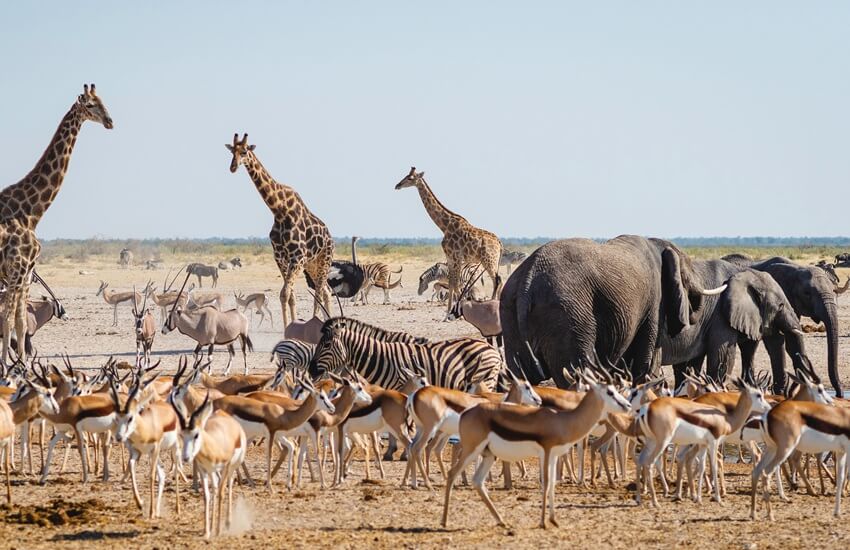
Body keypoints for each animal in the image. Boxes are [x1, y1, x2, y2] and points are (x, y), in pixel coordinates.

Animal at [0, 84, 113, 363]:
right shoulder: (19, 269)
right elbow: (10, 320)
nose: (110, 122)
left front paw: (19, 364)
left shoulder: (24, 273)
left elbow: (18, 321)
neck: (31, 212)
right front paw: (12, 365)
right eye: (91, 105)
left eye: (104, 101)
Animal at [225, 133, 333, 328]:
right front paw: (288, 326)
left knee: (320, 293)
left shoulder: (297, 258)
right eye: (232, 152)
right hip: (312, 264)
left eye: (244, 151)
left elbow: (285, 293)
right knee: (327, 291)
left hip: (324, 260)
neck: (279, 211)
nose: (233, 167)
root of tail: (330, 237)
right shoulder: (281, 258)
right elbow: (288, 296)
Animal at [395, 167, 502, 316]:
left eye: (410, 178)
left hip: (489, 260)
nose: (397, 185)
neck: (444, 226)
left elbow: (456, 285)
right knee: (499, 280)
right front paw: (447, 314)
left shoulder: (456, 257)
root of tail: (499, 243)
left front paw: (457, 311)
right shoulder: (450, 257)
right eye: (405, 175)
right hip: (494, 261)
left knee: (496, 280)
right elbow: (451, 284)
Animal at [500, 235, 727, 387]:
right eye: (687, 275)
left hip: (510, 310)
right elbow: (645, 362)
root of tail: (528, 280)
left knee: (521, 376)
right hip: (567, 315)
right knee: (576, 372)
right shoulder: (655, 301)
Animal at [723, 255, 843, 396]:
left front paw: (781, 392)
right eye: (807, 293)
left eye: (834, 291)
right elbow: (776, 340)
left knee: (749, 348)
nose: (838, 394)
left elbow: (792, 339)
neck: (796, 269)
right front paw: (780, 392)